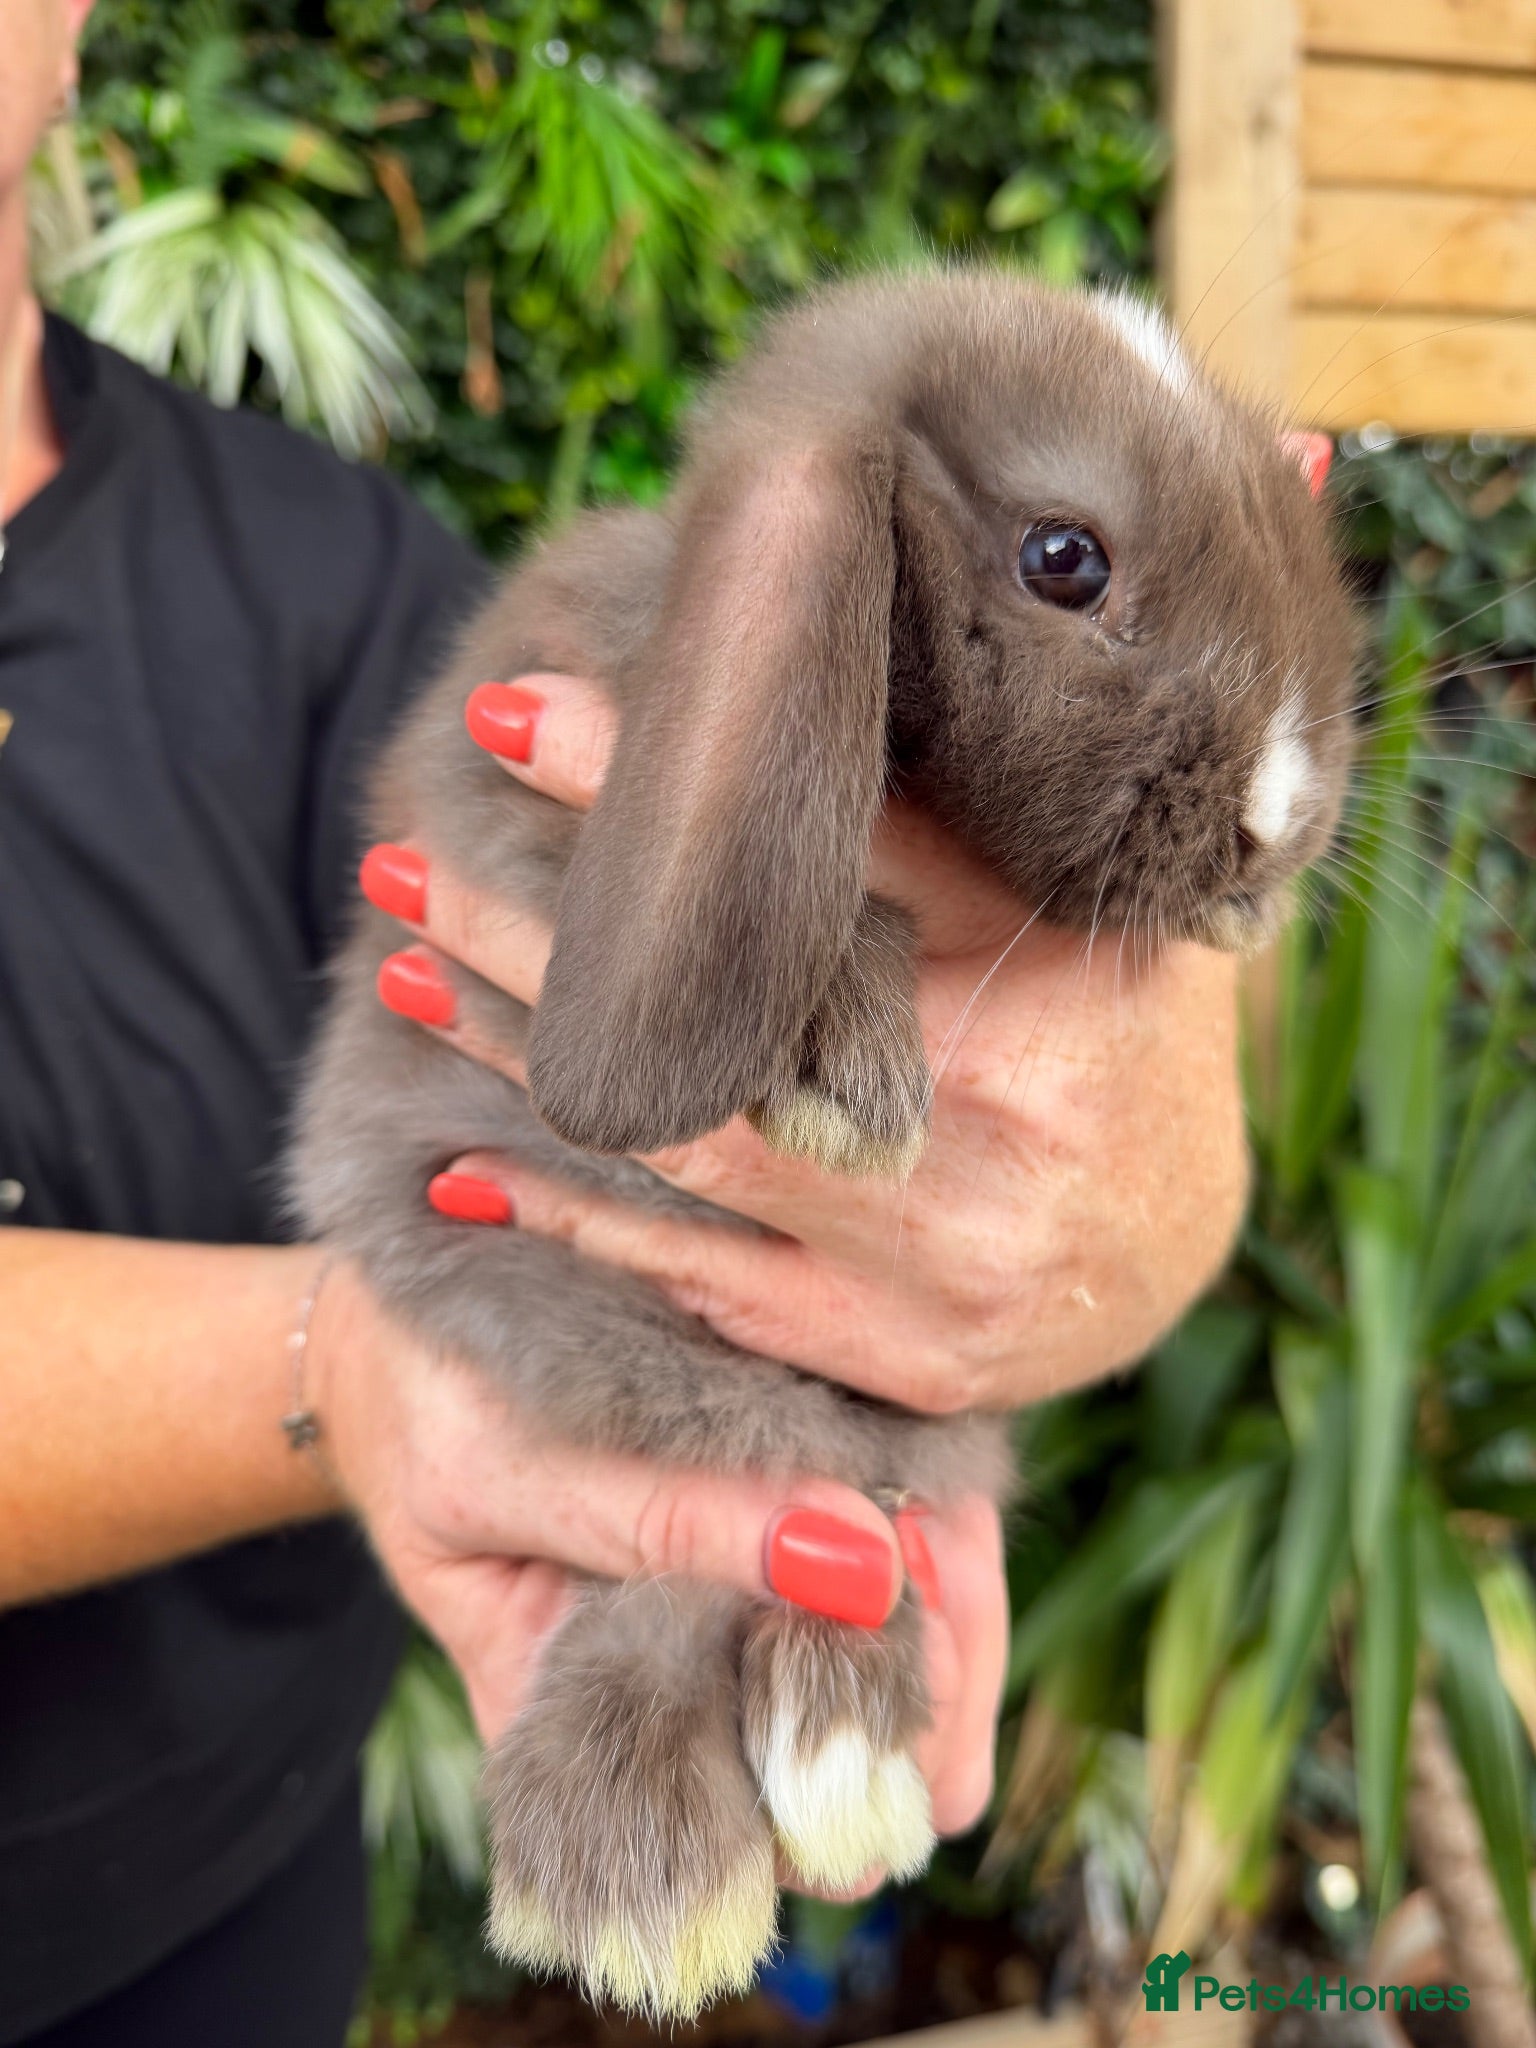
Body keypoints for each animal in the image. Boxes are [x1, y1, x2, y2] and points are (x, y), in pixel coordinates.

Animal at [289, 267, 1360, 2019]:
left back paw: (821, 1750)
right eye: (1065, 559)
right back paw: (652, 1861)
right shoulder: (507, 791)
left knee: (828, 1509)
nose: (1277, 834)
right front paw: (841, 1062)